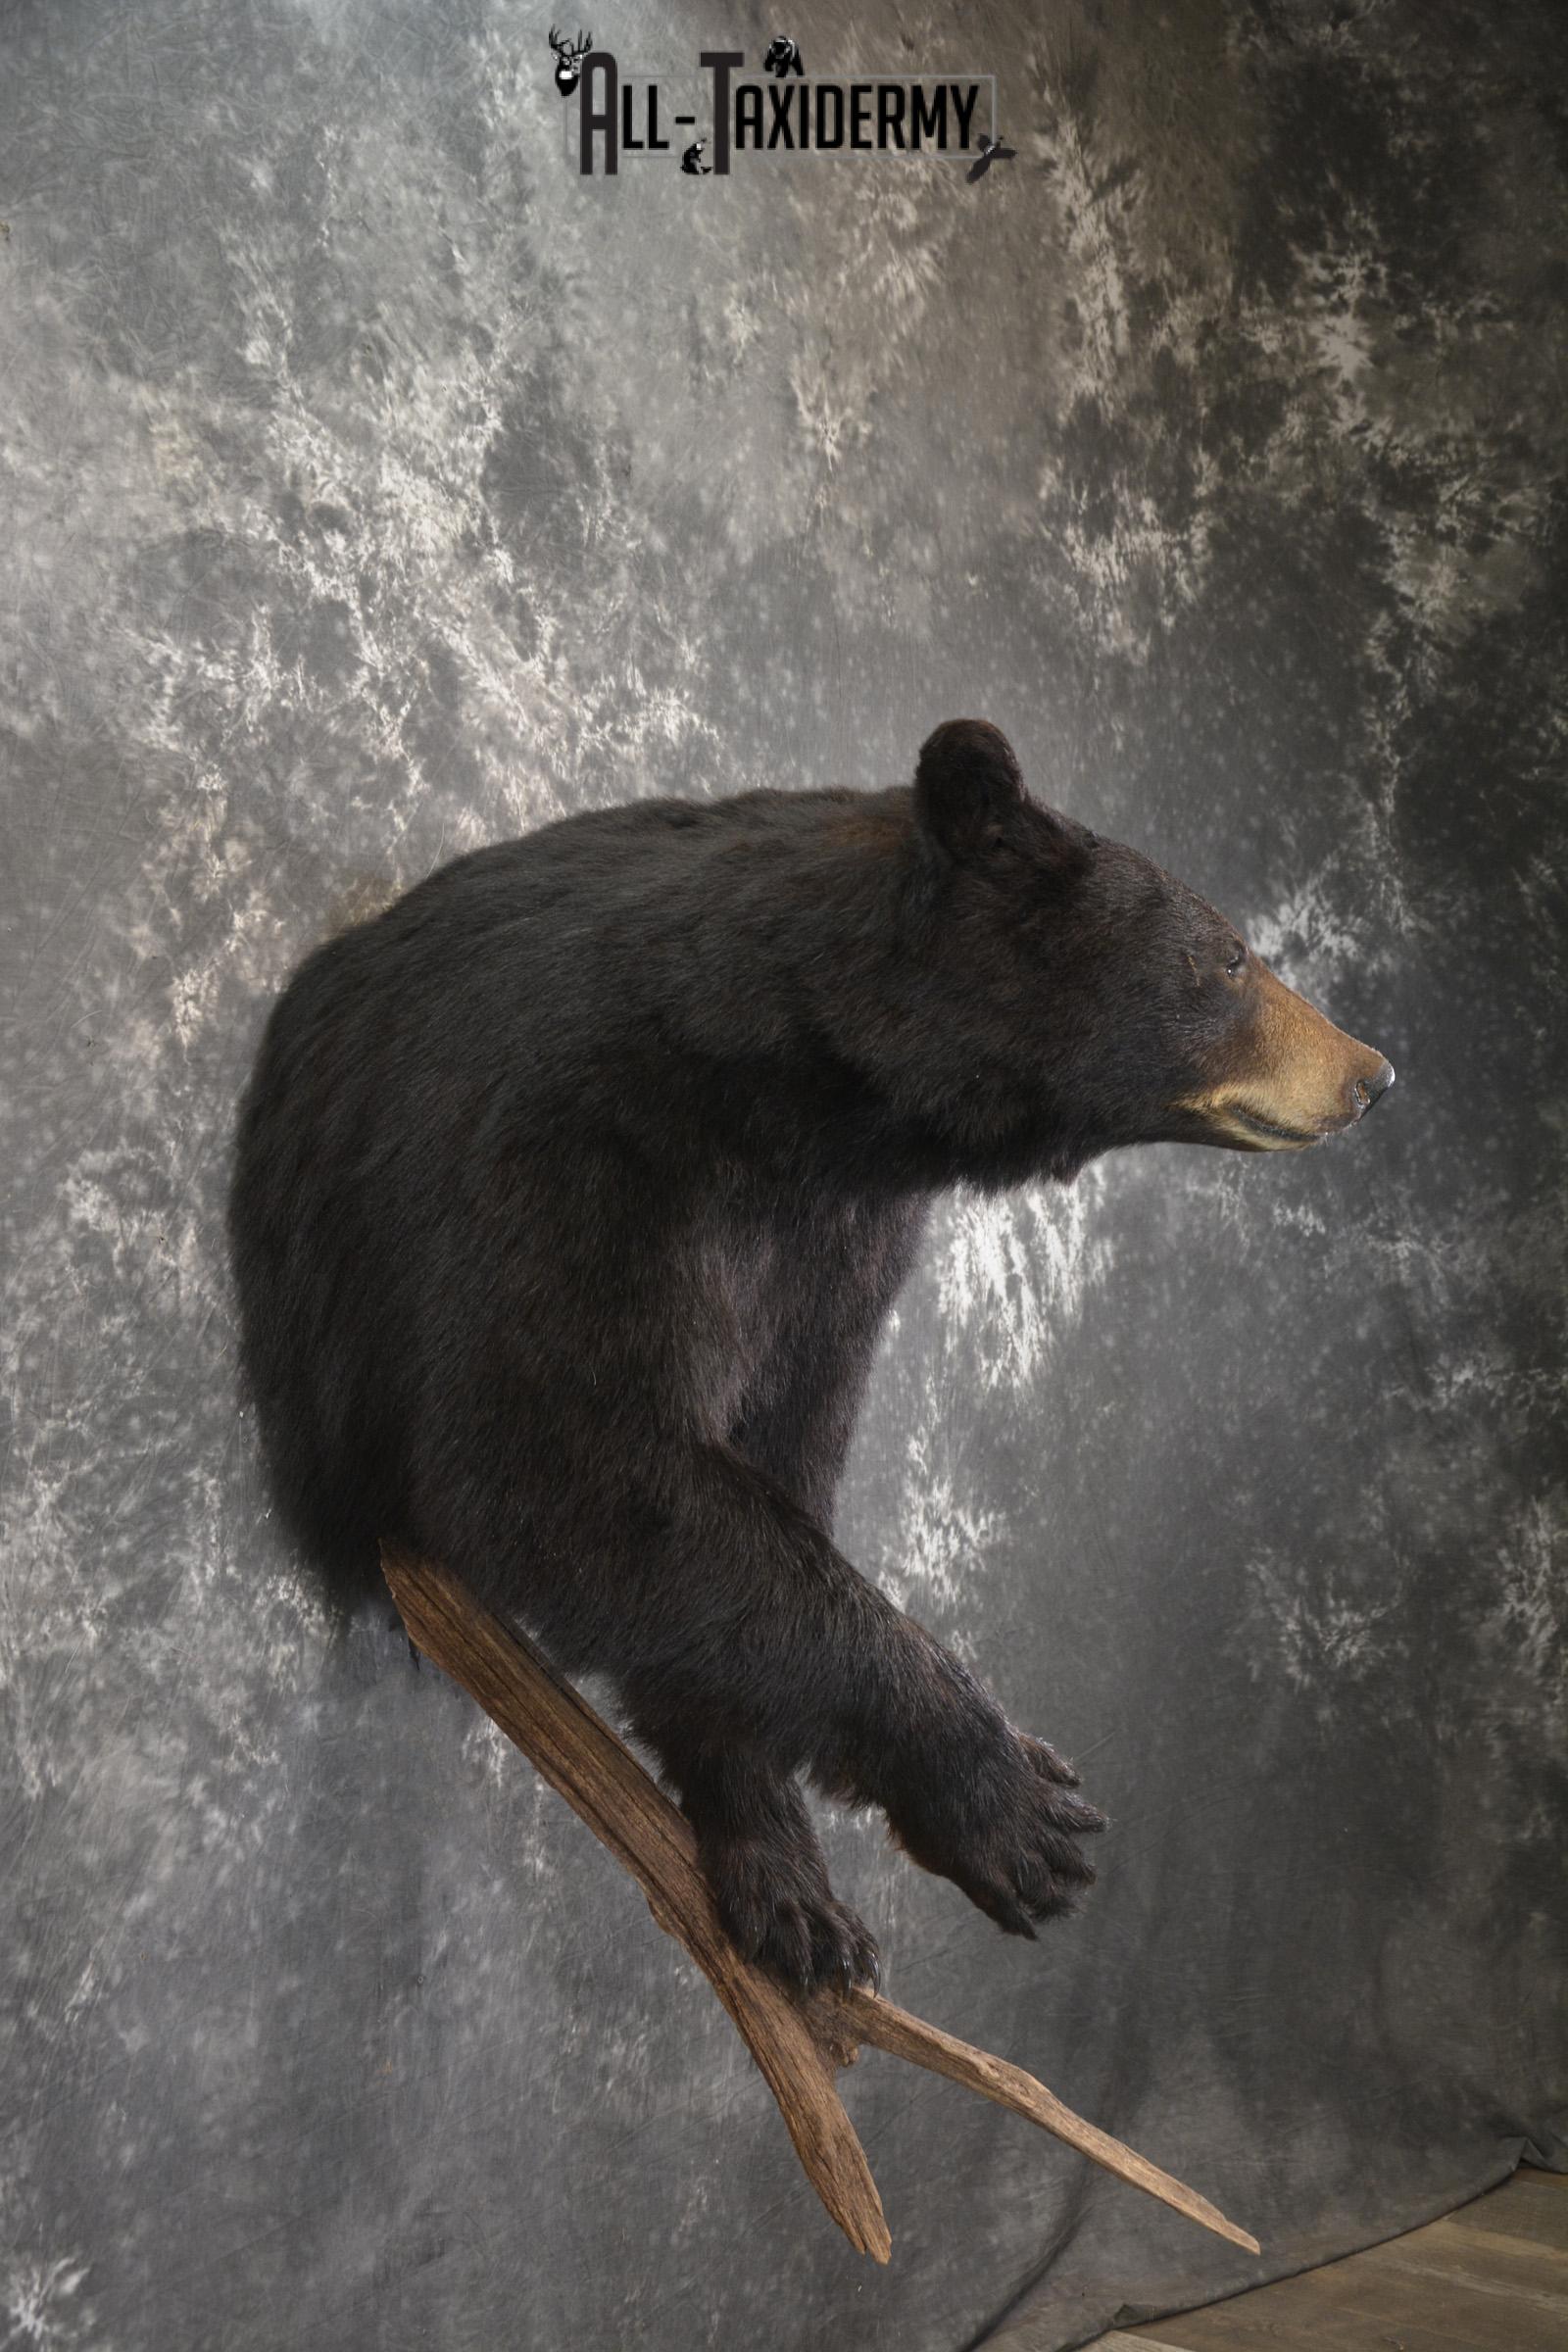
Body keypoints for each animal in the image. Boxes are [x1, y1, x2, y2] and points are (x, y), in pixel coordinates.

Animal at [228, 719, 1394, 1993]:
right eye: (1229, 955)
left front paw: (785, 1874)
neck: (791, 1087)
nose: (1371, 1072)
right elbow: (553, 1454)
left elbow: (763, 1479)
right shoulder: (562, 1144)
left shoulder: (835, 1251)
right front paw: (1006, 1800)